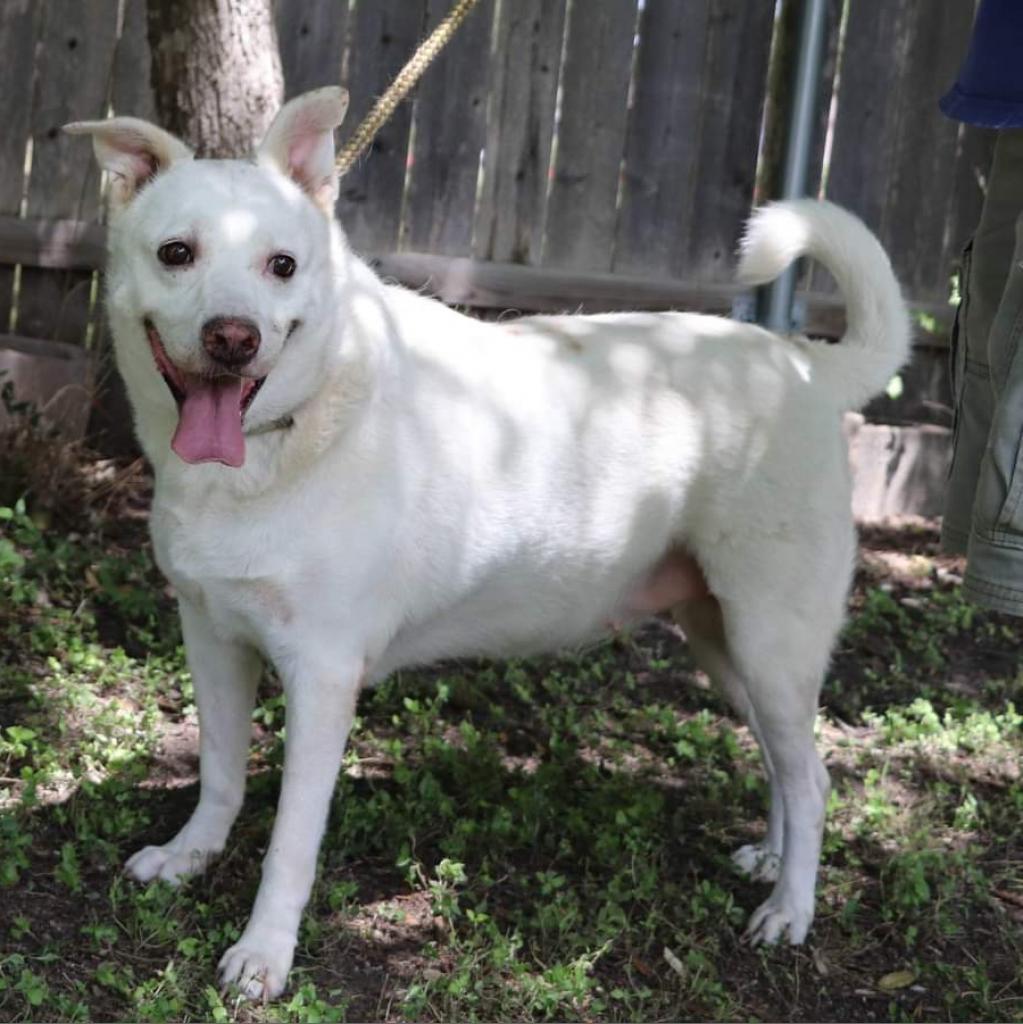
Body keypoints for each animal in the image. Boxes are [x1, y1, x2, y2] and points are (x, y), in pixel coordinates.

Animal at [68, 88, 909, 999]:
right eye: (176, 253)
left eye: (282, 266)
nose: (234, 338)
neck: (282, 440)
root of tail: (801, 362)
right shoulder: (212, 636)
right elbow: (220, 773)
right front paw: (190, 856)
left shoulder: (322, 677)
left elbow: (289, 845)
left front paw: (264, 954)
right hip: (723, 643)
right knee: (785, 762)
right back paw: (771, 859)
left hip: (768, 639)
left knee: (811, 774)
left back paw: (790, 908)